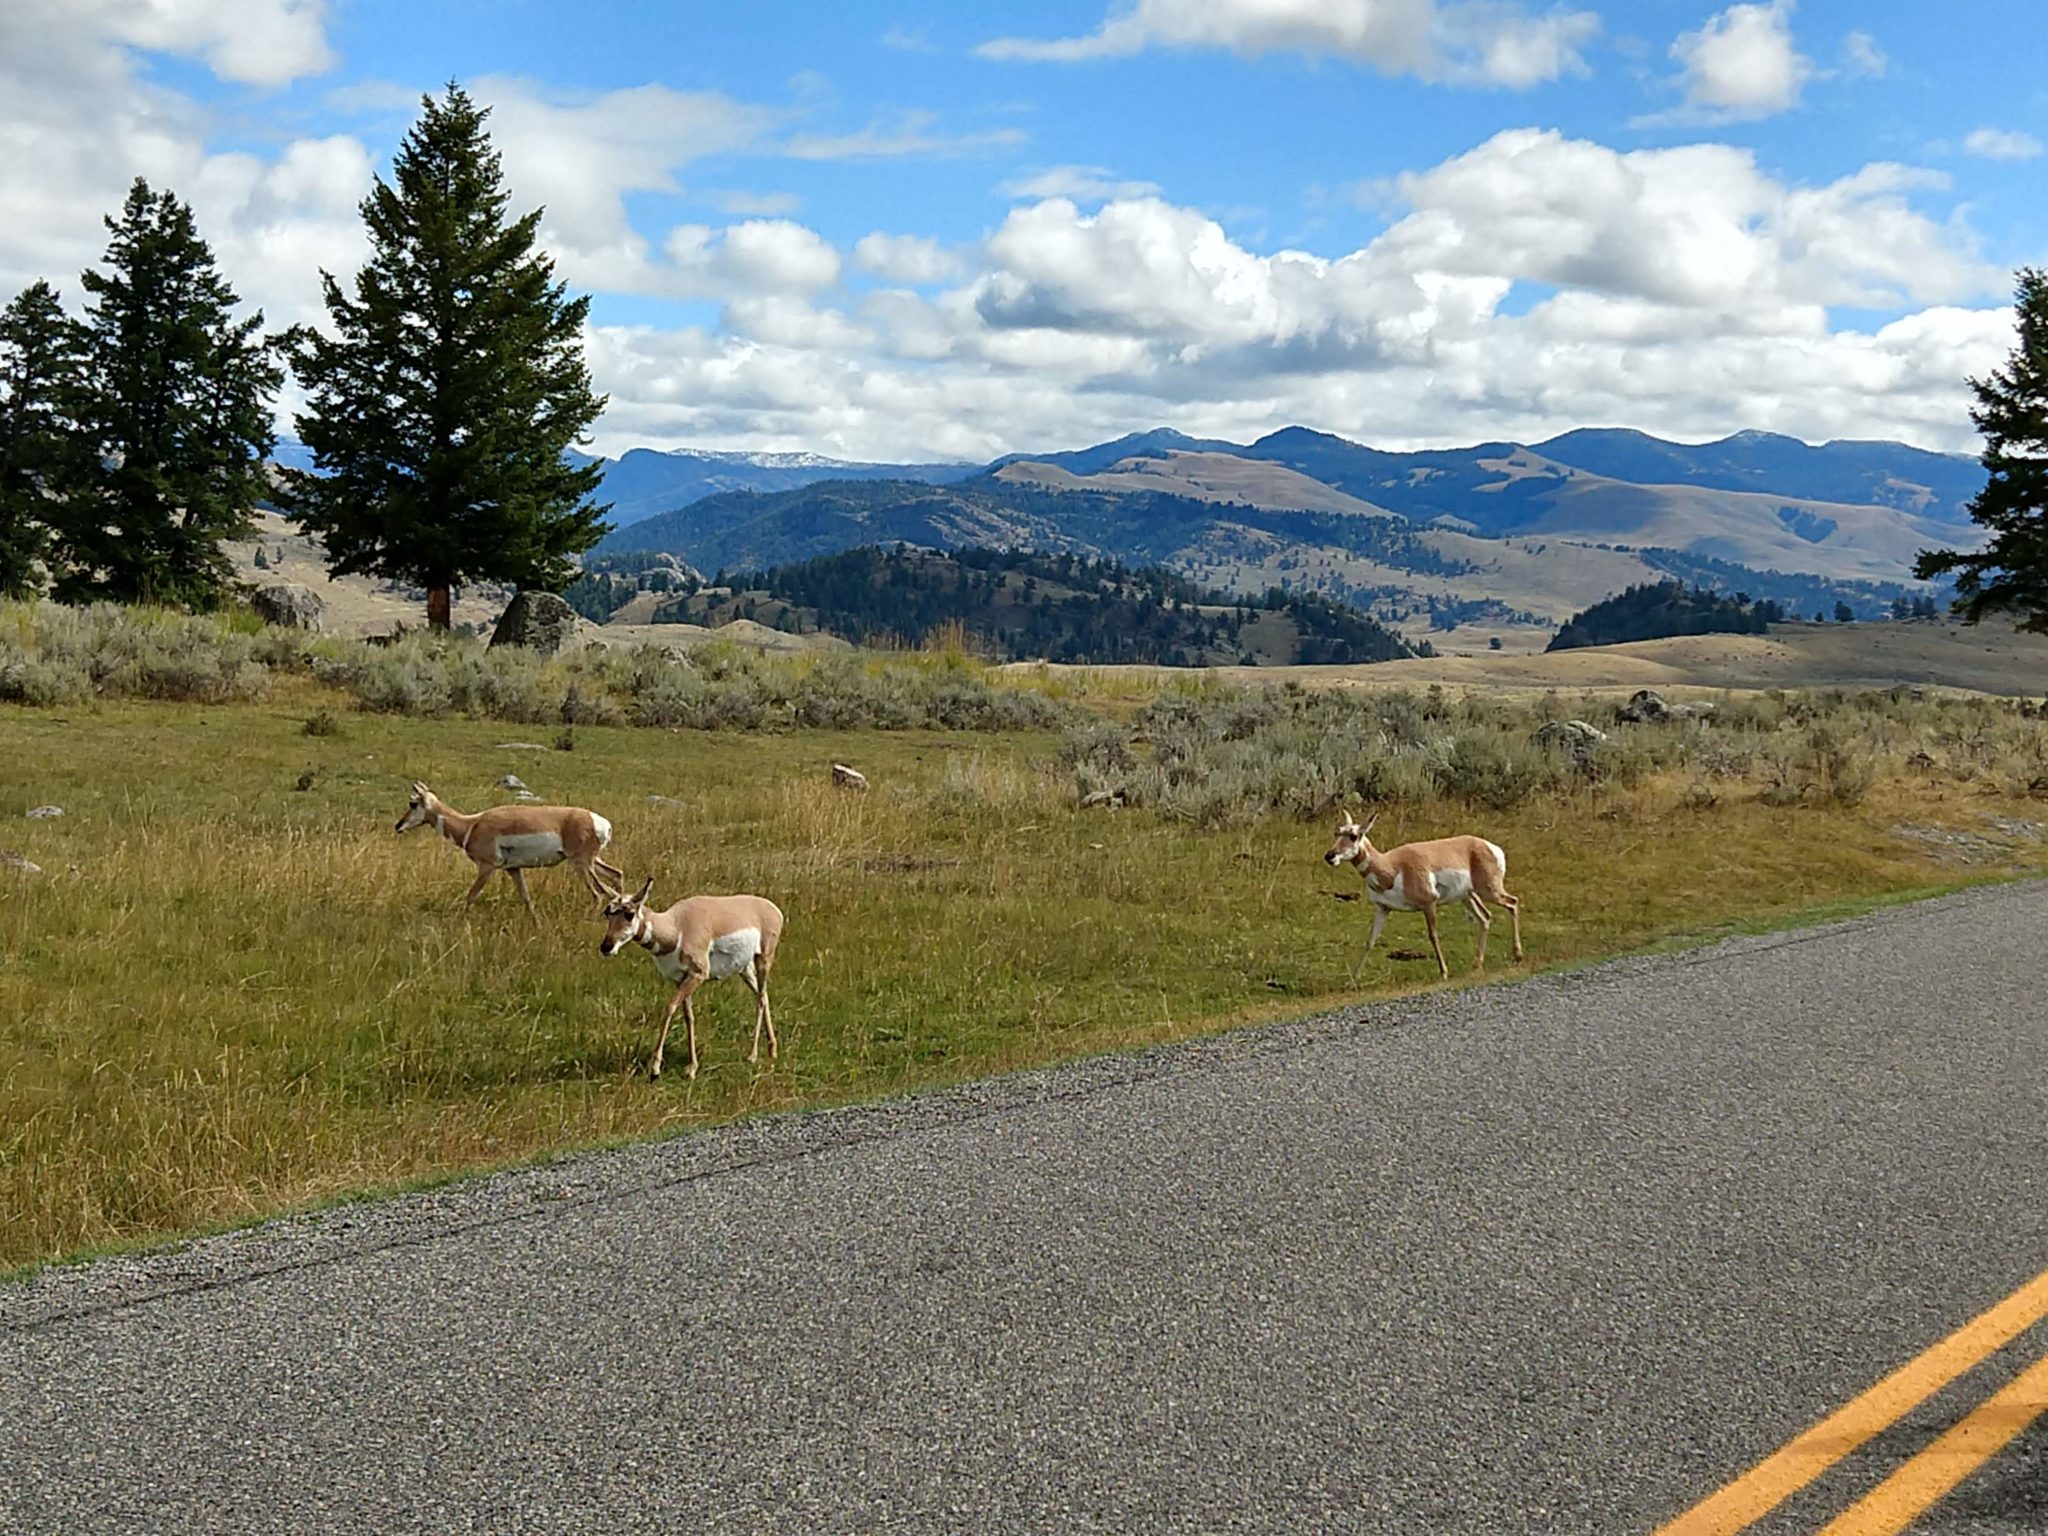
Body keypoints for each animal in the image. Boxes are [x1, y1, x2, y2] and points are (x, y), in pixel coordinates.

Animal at [393, 782, 622, 913]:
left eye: (413, 803)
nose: (398, 826)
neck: (471, 824)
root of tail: (601, 822)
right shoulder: (513, 869)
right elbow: (526, 899)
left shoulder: (486, 867)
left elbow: (471, 896)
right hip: (593, 862)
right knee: (616, 877)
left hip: (581, 864)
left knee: (599, 894)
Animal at [598, 876, 782, 1081]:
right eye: (607, 912)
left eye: (629, 914)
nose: (606, 947)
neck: (677, 927)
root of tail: (772, 908)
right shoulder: (681, 978)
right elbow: (689, 1017)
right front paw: (692, 1067)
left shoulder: (698, 975)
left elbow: (670, 1007)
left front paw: (655, 1069)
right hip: (745, 969)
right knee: (763, 995)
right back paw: (772, 1050)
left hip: (764, 959)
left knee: (760, 1000)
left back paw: (752, 1055)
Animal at [1327, 811, 1523, 978]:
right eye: (1337, 832)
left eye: (1353, 836)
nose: (1329, 856)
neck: (1392, 867)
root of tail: (1491, 846)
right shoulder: (1382, 908)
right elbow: (1371, 940)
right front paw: (1355, 977)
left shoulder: (1429, 903)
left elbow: (1433, 936)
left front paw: (1444, 972)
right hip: (1468, 897)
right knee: (1486, 917)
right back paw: (1477, 964)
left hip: (1490, 891)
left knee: (1512, 902)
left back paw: (1518, 956)